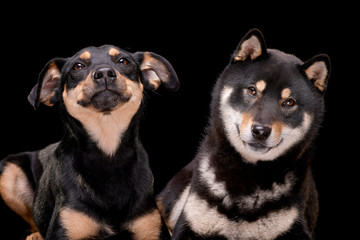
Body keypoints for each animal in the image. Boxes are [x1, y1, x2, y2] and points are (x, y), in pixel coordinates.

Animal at [0, 44, 179, 238]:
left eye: (123, 61)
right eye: (77, 66)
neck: (108, 156)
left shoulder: (150, 228)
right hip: (8, 171)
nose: (104, 73)